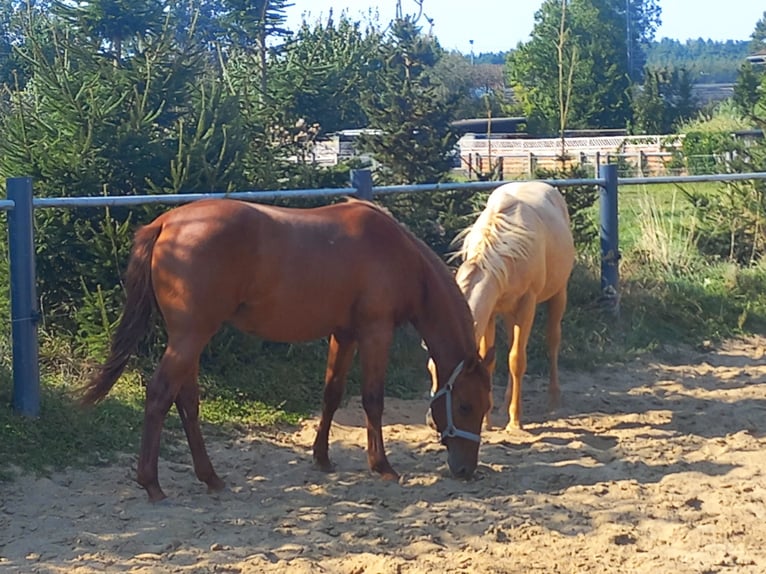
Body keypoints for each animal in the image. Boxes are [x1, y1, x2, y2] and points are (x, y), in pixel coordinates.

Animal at [82, 199, 492, 504]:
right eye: (466, 406)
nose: (466, 470)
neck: (396, 253)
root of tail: (165, 224)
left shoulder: (344, 334)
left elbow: (332, 394)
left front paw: (322, 457)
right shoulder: (376, 331)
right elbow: (372, 399)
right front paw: (382, 466)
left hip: (190, 339)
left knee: (186, 401)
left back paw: (210, 477)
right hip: (190, 337)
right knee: (159, 395)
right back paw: (151, 484)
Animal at [440, 183, 572, 432]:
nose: (436, 422)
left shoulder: (527, 303)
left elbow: (517, 360)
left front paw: (515, 422)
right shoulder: (491, 312)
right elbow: (490, 360)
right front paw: (486, 421)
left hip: (558, 293)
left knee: (552, 340)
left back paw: (554, 400)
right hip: (510, 313)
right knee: (513, 342)